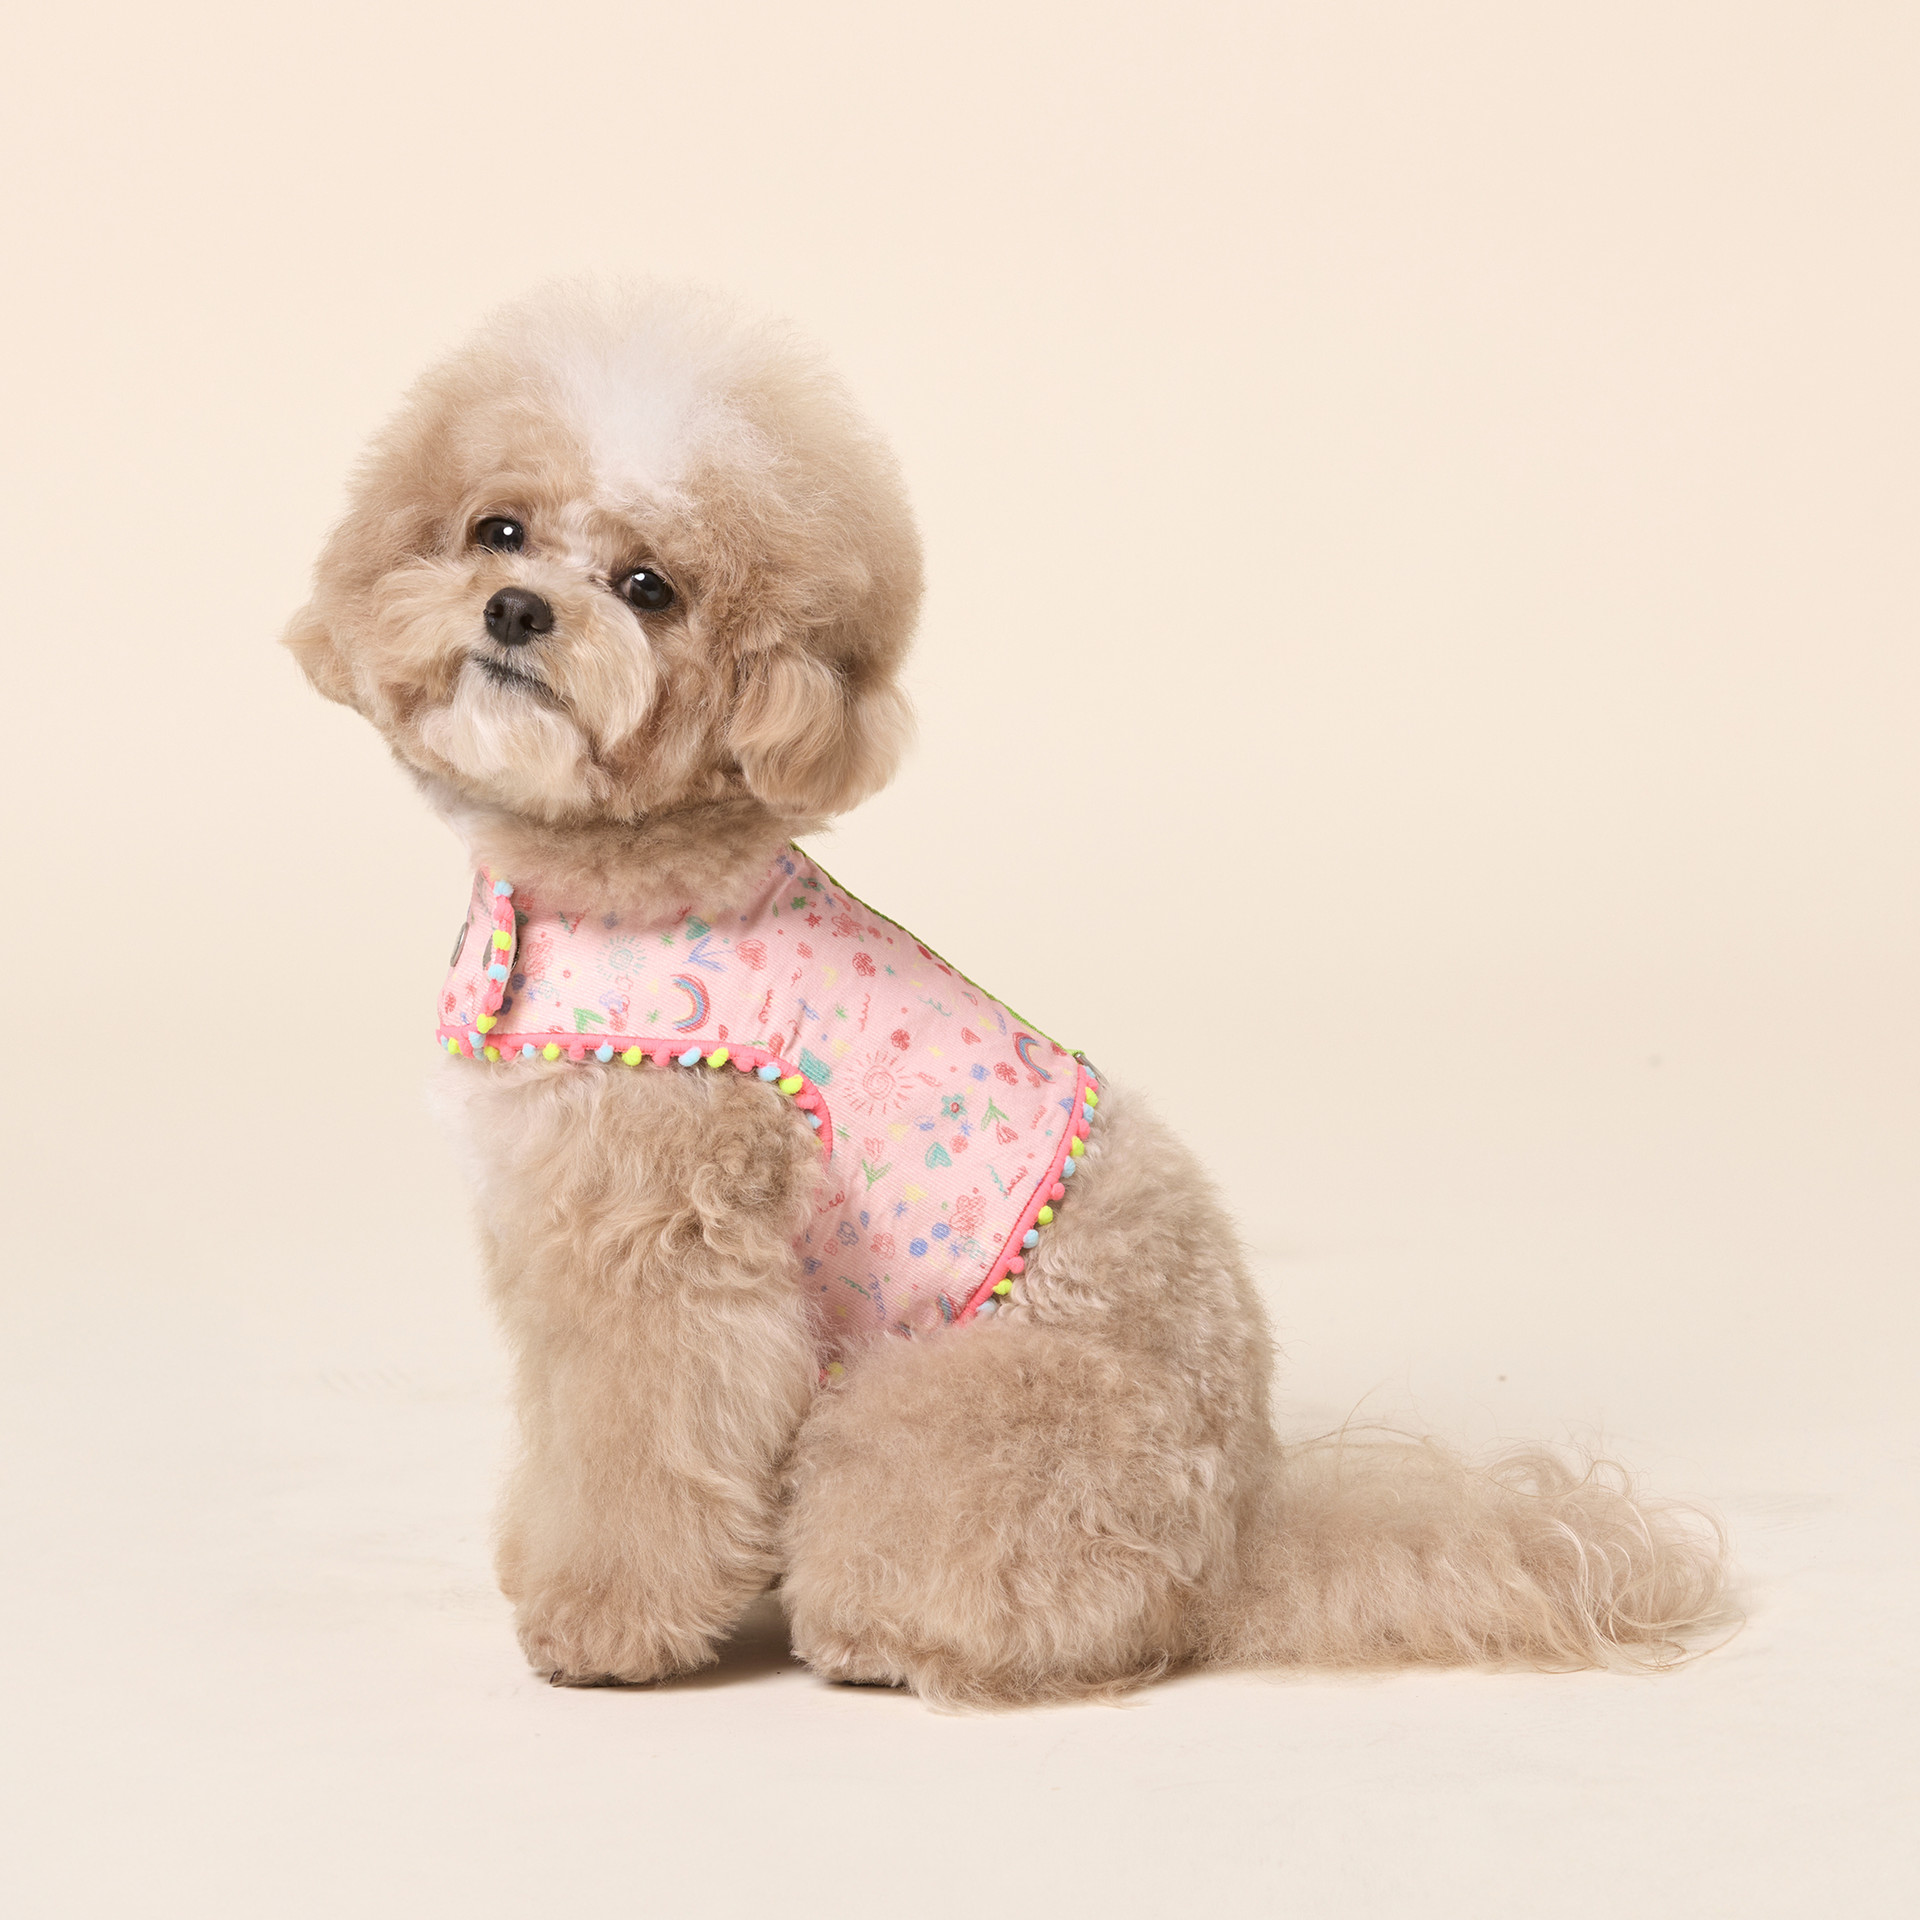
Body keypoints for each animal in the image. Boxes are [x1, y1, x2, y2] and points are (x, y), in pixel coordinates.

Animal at [286, 282, 1727, 1704]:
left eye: (651, 588)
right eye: (497, 530)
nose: (518, 610)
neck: (612, 874)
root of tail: (1238, 1534)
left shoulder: (667, 1248)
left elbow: (637, 1447)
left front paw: (602, 1627)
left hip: (952, 1416)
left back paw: (882, 1638)